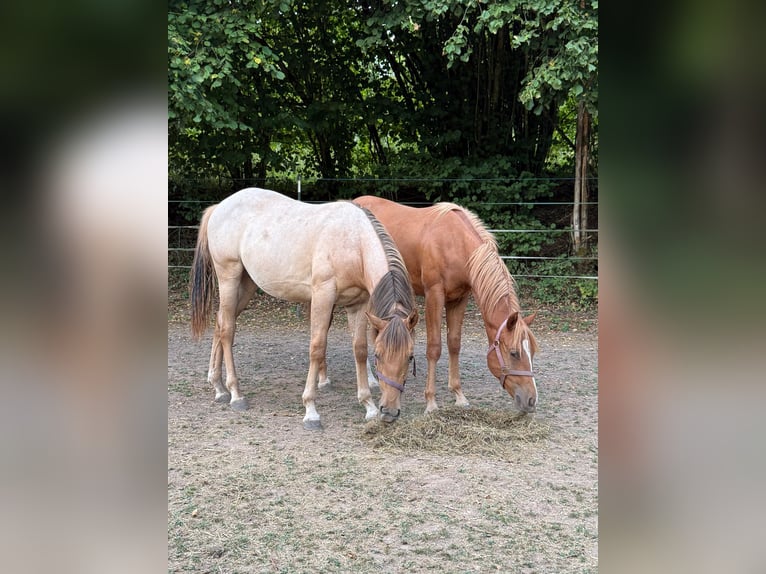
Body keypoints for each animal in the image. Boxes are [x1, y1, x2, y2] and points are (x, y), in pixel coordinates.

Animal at [190, 188, 418, 429]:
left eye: (410, 356)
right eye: (379, 355)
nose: (389, 411)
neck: (355, 243)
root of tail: (219, 207)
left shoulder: (358, 305)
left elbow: (359, 348)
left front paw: (369, 406)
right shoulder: (323, 296)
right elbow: (317, 347)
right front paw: (311, 410)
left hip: (246, 285)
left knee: (220, 323)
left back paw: (218, 387)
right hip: (229, 278)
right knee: (227, 330)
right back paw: (235, 394)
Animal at [353, 196, 538, 414]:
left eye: (532, 351)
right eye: (514, 353)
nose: (531, 400)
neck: (455, 243)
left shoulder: (459, 299)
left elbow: (454, 344)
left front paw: (458, 394)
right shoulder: (434, 295)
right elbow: (434, 348)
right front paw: (431, 402)